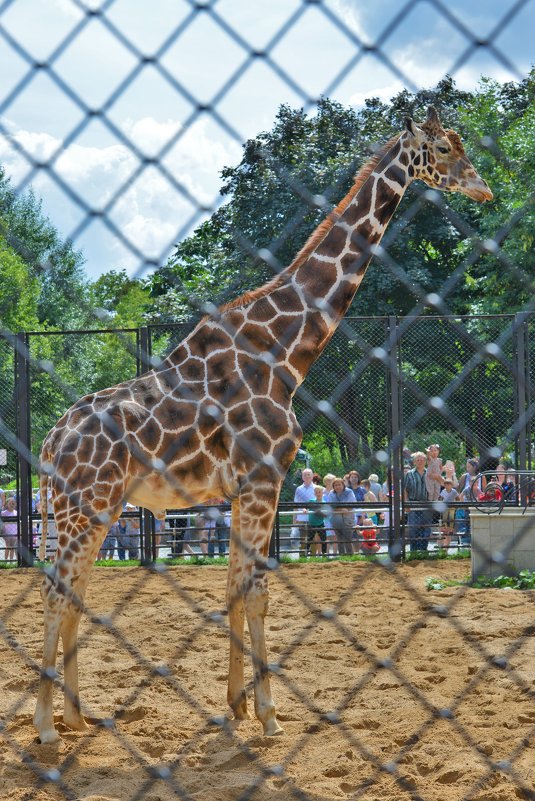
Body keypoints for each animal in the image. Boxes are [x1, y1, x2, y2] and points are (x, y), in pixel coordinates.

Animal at [34, 106, 494, 744]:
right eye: (446, 149)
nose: (484, 188)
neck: (286, 353)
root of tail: (51, 441)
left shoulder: (244, 489)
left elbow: (234, 589)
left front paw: (236, 706)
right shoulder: (265, 480)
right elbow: (257, 594)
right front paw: (271, 715)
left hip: (89, 510)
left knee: (73, 590)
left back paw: (78, 715)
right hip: (86, 505)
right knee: (58, 591)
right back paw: (47, 728)